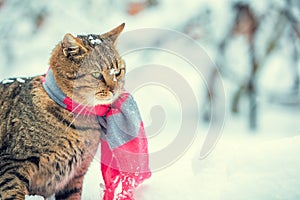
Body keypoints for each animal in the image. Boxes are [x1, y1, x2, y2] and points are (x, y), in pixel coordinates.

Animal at [0, 23, 125, 198]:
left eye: (118, 71)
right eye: (96, 74)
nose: (114, 89)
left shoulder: (75, 176)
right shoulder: (12, 162)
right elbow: (12, 193)